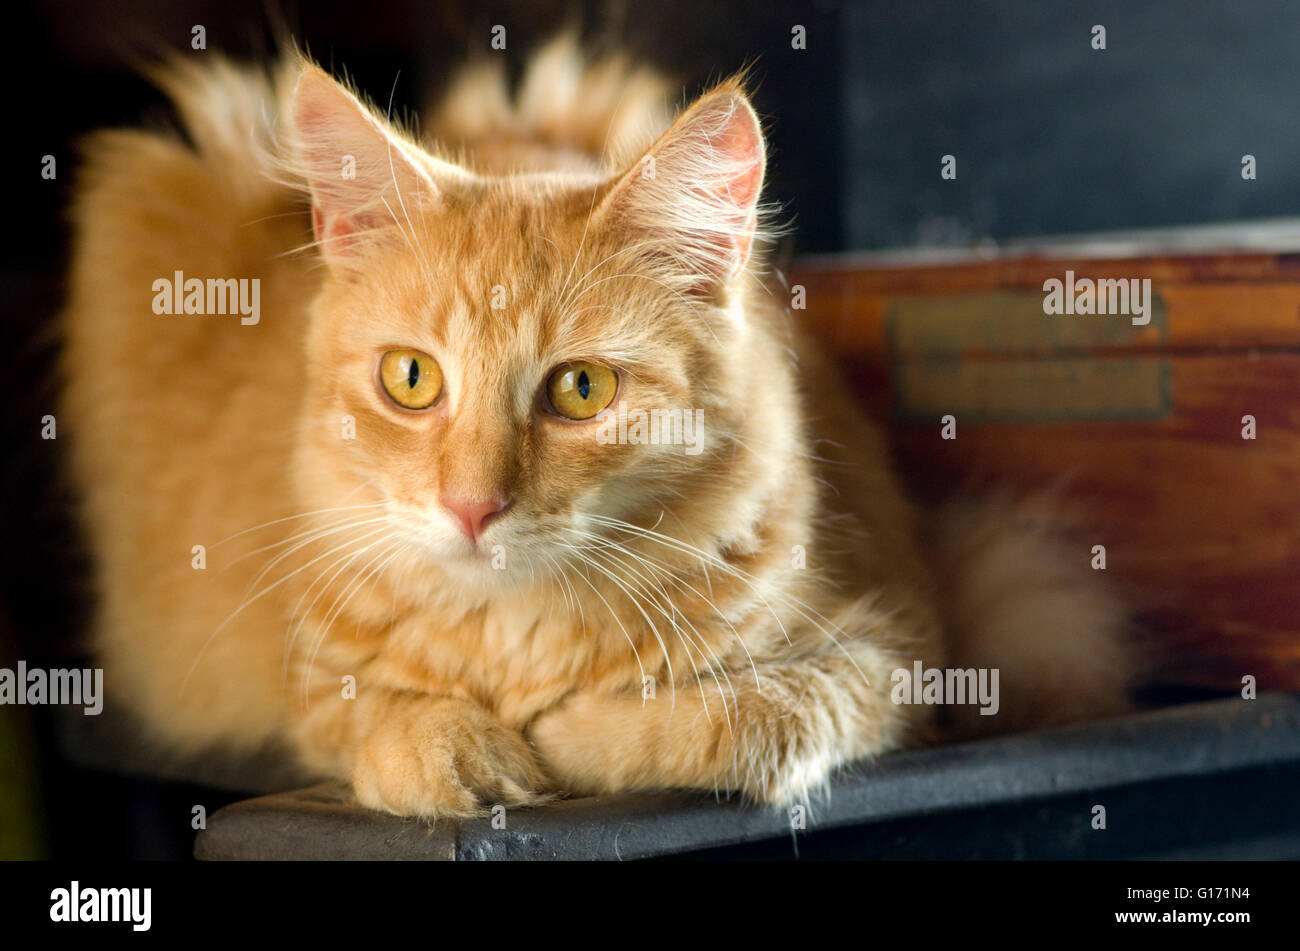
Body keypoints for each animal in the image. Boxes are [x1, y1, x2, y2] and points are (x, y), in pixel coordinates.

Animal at [61, 35, 1128, 810]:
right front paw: (461, 747)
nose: (471, 509)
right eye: (411, 378)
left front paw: (564, 736)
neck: (515, 638)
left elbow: (735, 718)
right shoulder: (314, 678)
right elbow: (379, 721)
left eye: (580, 390)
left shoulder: (890, 656)